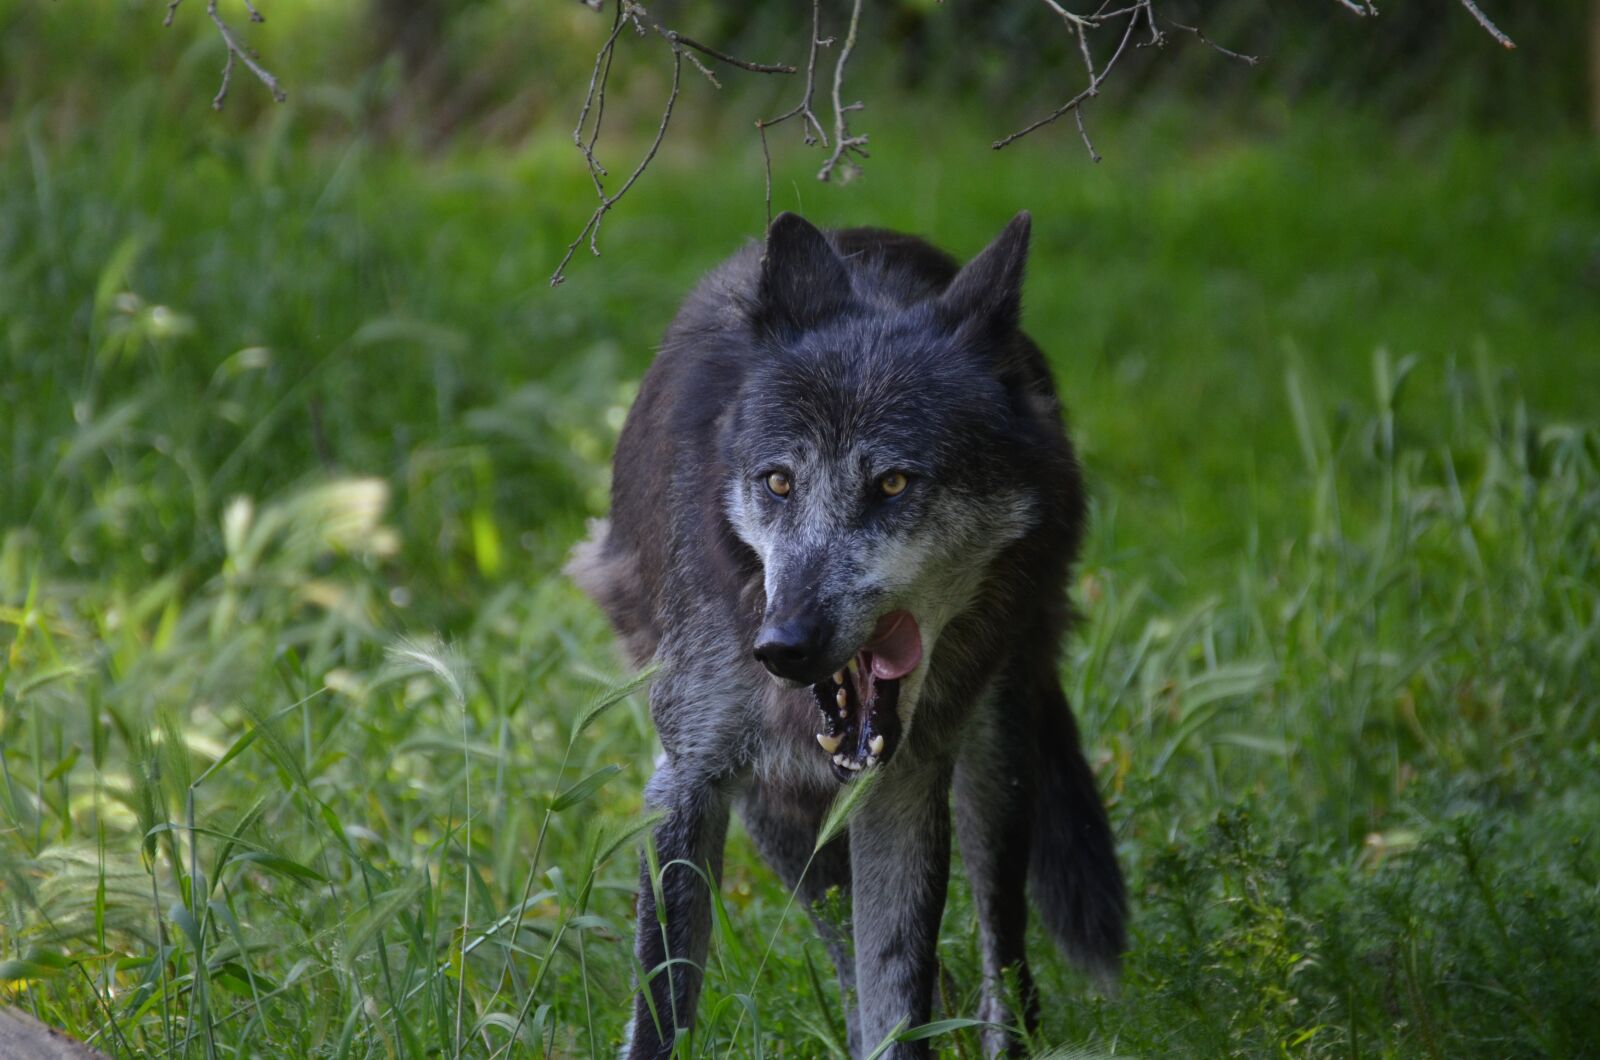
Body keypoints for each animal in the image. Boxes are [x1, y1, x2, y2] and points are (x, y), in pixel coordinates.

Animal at [568, 211, 1126, 1059]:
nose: (784, 646)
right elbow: (663, 1008)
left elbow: (900, 995)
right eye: (778, 482)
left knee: (1002, 961)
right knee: (857, 964)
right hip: (777, 816)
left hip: (995, 762)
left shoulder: (904, 785)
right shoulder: (686, 782)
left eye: (892, 483)